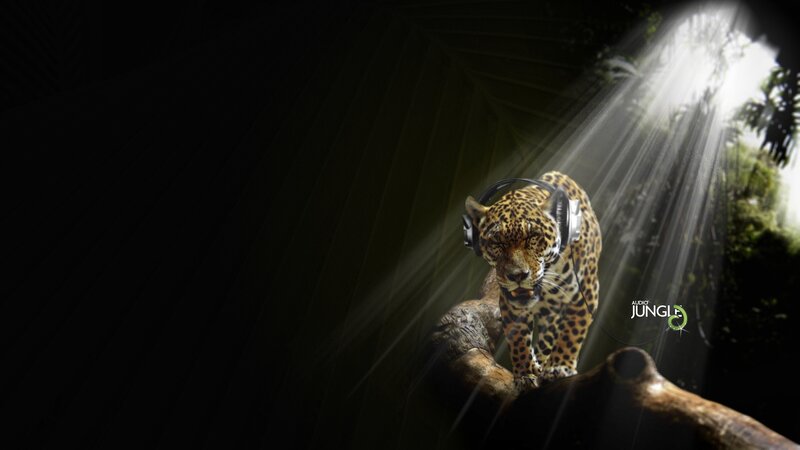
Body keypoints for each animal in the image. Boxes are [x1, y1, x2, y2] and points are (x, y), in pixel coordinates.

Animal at [464, 171, 602, 390]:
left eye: (533, 237)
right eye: (497, 242)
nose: (517, 275)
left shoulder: (586, 292)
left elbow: (572, 329)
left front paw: (559, 366)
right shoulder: (510, 302)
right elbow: (519, 338)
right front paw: (525, 373)